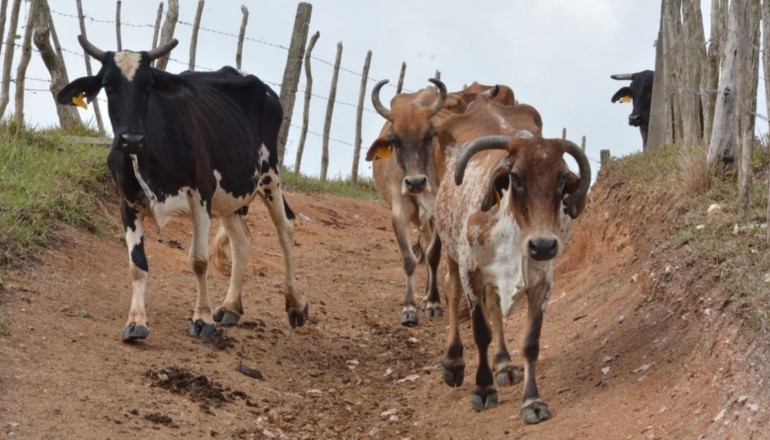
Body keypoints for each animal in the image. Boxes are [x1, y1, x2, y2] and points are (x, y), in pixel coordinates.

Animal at [57, 36, 306, 342]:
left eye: (148, 85)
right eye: (109, 86)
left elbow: (199, 260)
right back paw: (231, 306)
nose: (131, 139)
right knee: (242, 241)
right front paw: (136, 322)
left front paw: (202, 319)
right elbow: (137, 265)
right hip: (231, 194)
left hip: (269, 174)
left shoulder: (200, 196)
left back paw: (295, 305)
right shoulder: (127, 202)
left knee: (286, 227)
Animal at [432, 94, 588, 424]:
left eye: (563, 179)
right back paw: (453, 362)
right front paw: (483, 388)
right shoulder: (470, 271)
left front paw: (532, 401)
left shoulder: (542, 283)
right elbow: (481, 331)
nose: (543, 245)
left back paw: (503, 363)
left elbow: (530, 342)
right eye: (515, 177)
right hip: (450, 250)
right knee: (451, 292)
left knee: (494, 305)